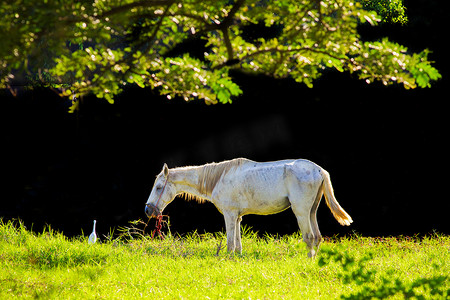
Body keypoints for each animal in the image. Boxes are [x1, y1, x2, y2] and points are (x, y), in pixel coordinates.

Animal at [144, 158, 352, 256]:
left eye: (159, 187)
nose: (148, 210)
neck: (218, 178)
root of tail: (319, 170)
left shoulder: (229, 215)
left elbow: (230, 243)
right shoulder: (237, 216)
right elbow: (237, 242)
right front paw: (238, 257)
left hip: (301, 212)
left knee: (309, 237)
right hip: (311, 211)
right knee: (317, 237)